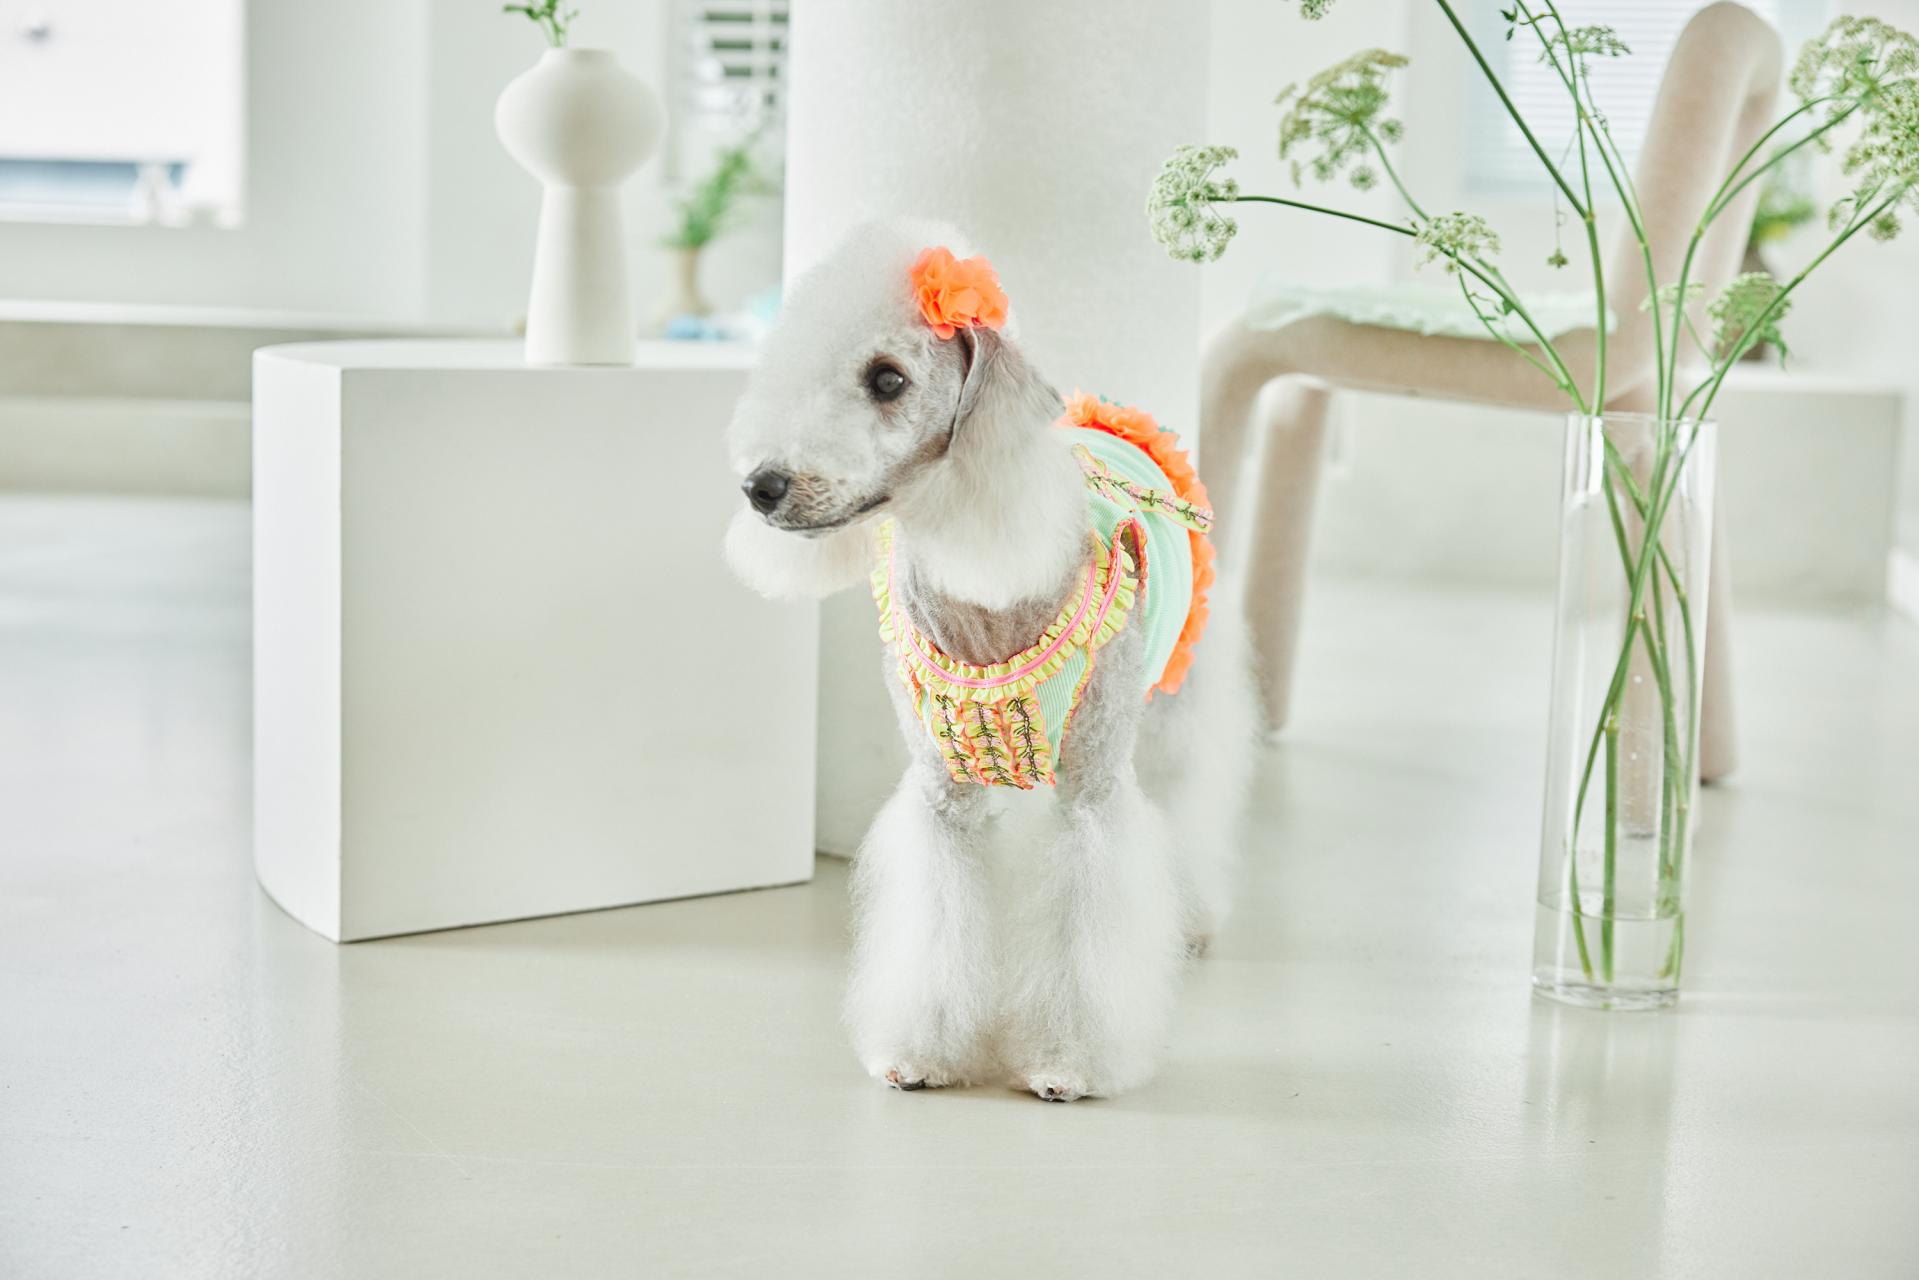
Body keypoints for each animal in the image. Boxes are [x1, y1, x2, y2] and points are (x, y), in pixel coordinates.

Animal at [724, 221, 1255, 1101]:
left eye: (888, 378)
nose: (761, 486)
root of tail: (1114, 419)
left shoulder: (1092, 789)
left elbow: (1087, 927)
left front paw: (1067, 1065)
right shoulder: (942, 795)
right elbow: (938, 929)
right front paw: (919, 1055)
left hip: (1174, 701)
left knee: (1189, 803)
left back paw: (1195, 921)